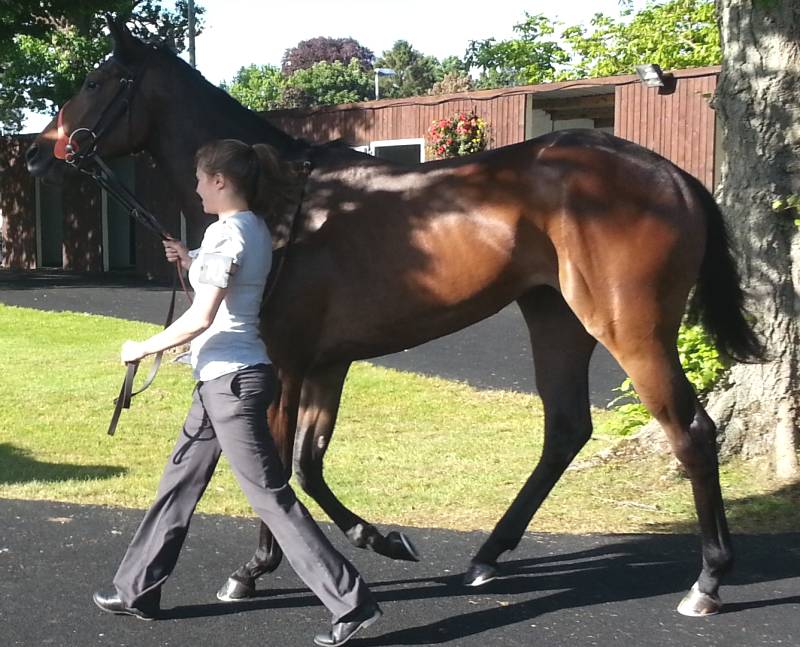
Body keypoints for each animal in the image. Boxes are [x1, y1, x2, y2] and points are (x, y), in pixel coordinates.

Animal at [26, 18, 762, 618]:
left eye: (96, 80)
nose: (37, 152)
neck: (283, 200)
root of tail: (671, 175)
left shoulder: (286, 360)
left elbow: (276, 463)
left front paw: (255, 568)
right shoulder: (327, 362)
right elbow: (308, 463)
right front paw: (379, 538)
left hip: (631, 328)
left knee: (692, 431)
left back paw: (708, 580)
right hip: (554, 316)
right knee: (564, 429)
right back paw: (486, 556)